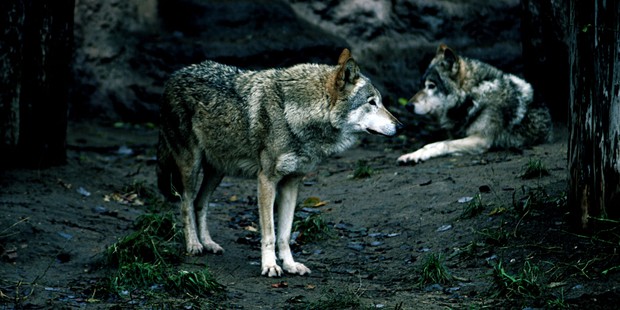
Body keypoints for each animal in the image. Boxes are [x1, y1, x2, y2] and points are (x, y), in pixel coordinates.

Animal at [157, 49, 404, 278]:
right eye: (372, 103)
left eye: (381, 102)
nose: (401, 127)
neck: (294, 115)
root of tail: (174, 75)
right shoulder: (266, 180)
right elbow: (270, 233)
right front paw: (269, 266)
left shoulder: (292, 182)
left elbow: (285, 234)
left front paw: (290, 265)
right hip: (191, 167)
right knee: (186, 202)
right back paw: (194, 244)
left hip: (217, 172)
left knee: (200, 203)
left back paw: (208, 243)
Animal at [400, 44, 548, 165]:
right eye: (421, 86)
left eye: (431, 86)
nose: (408, 106)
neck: (472, 97)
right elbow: (431, 144)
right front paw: (412, 155)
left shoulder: (481, 140)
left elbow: (442, 144)